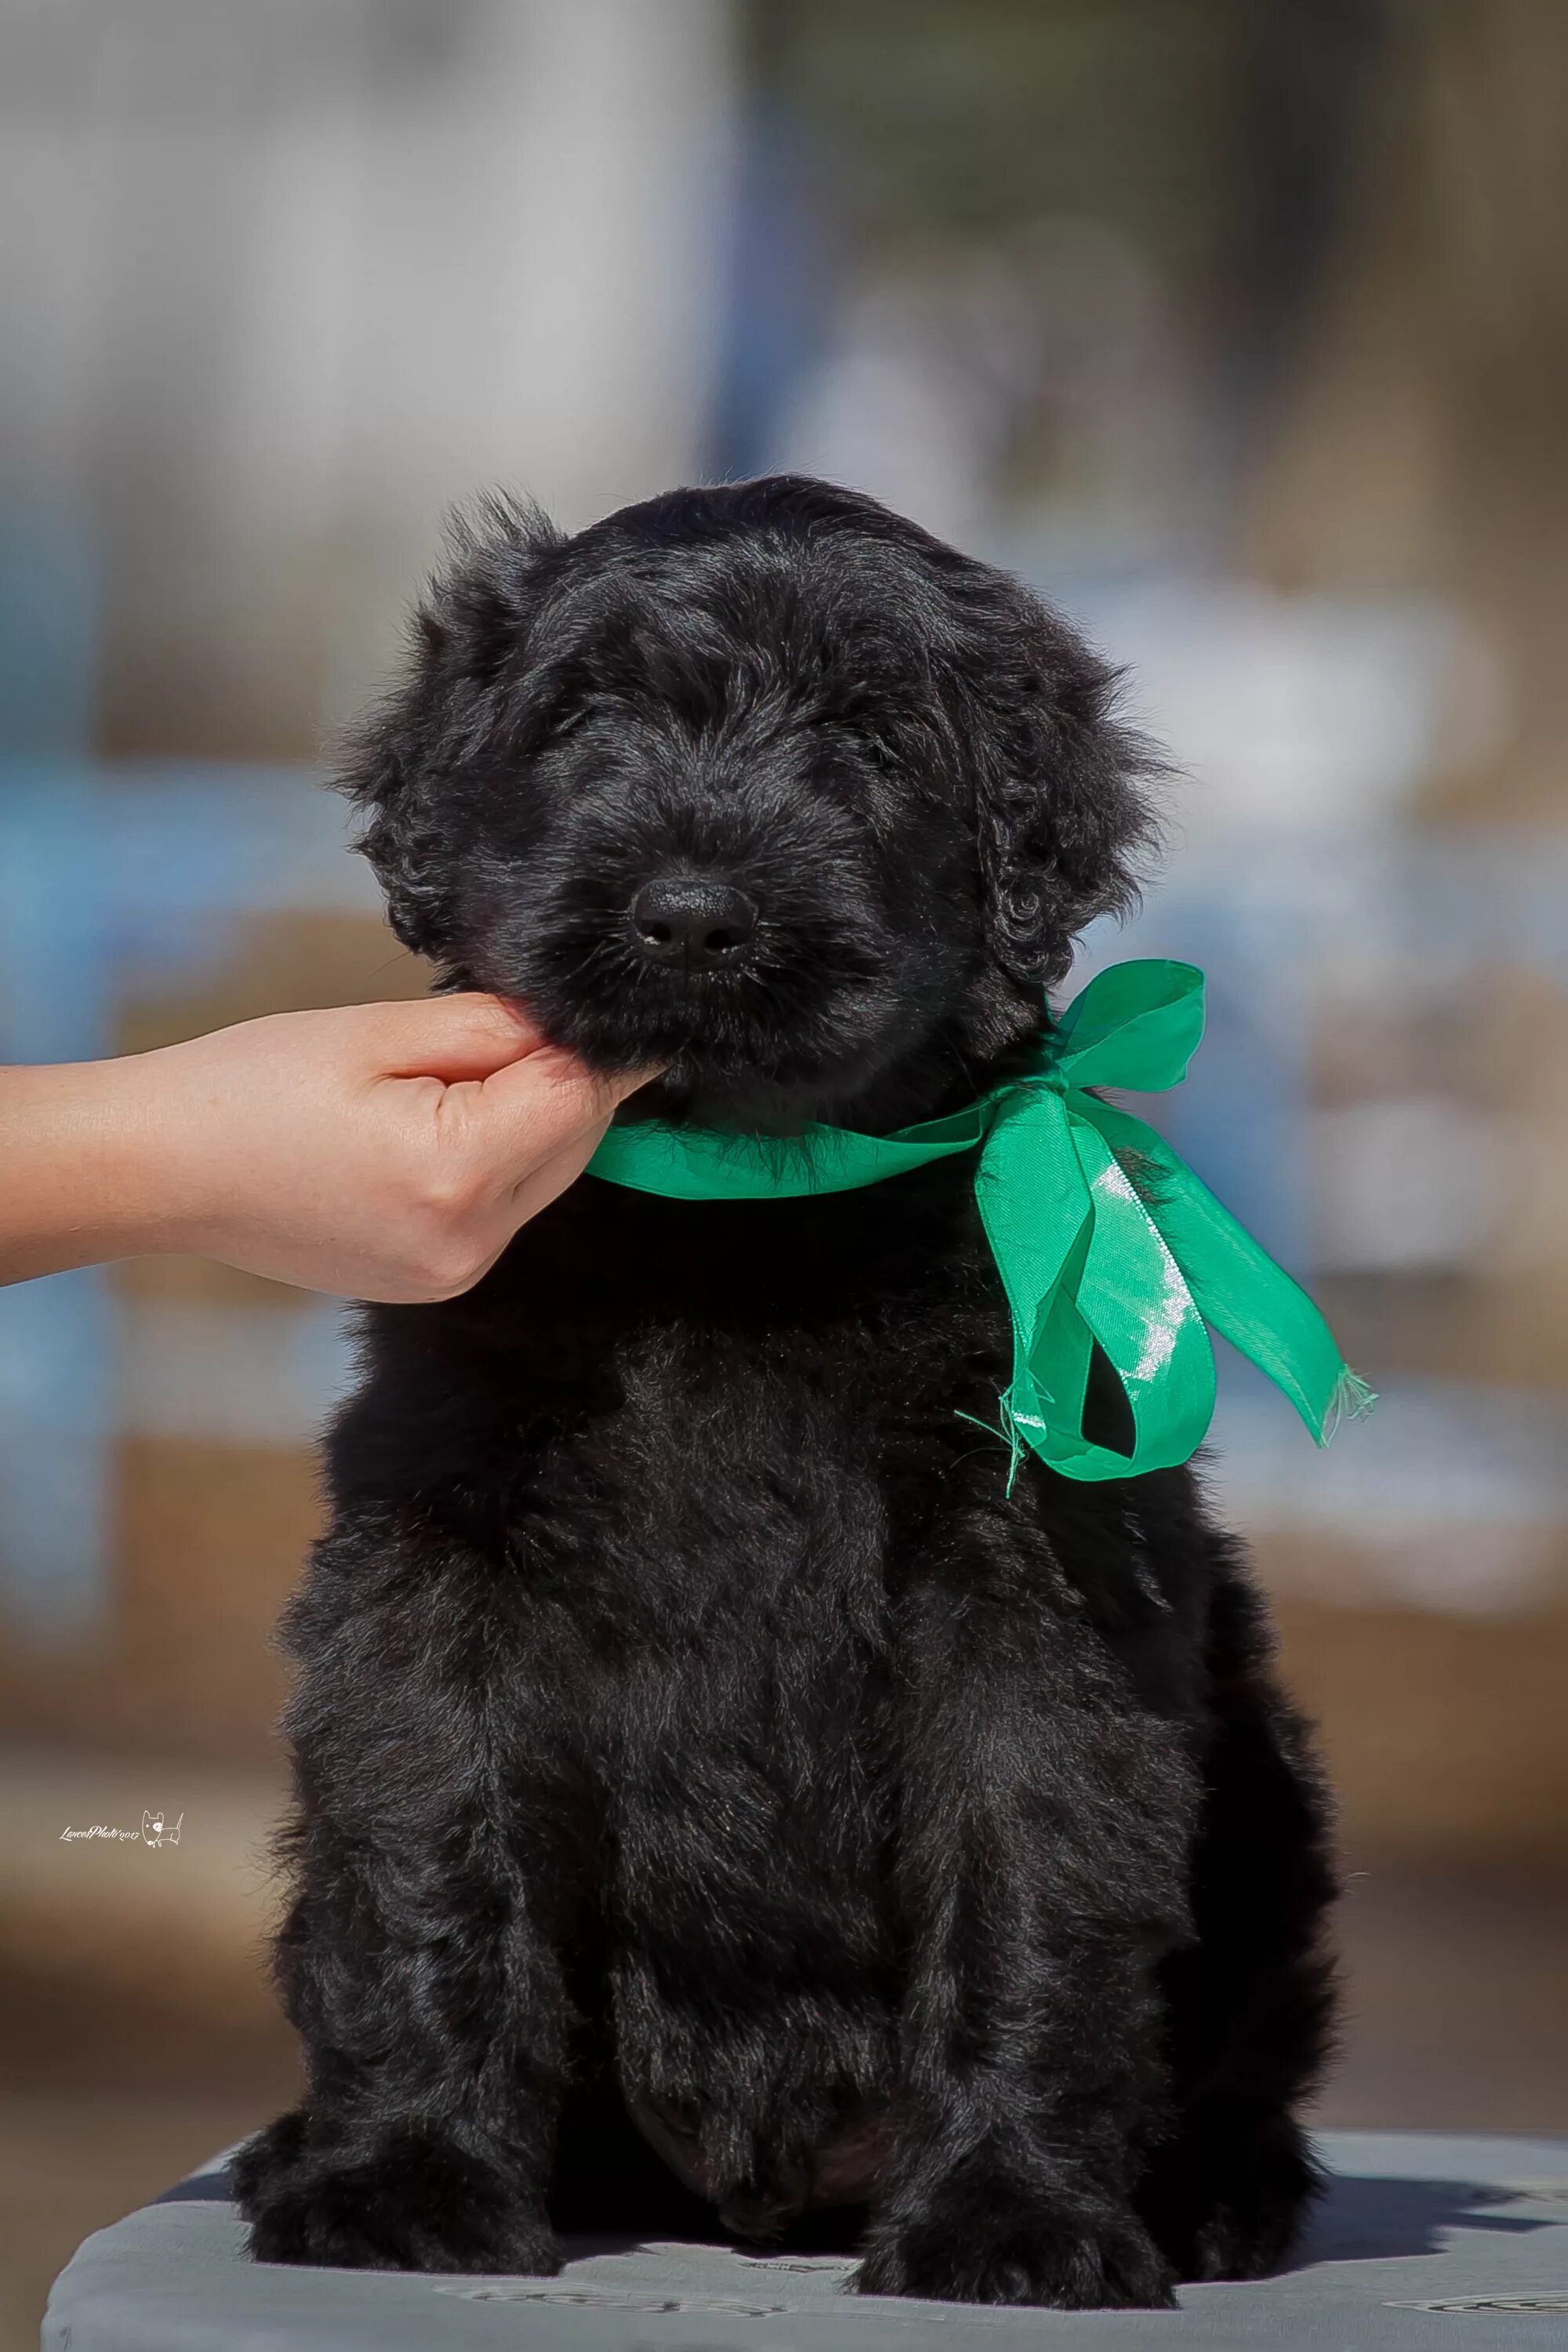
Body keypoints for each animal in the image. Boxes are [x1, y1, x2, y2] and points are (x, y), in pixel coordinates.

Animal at [236, 468, 1335, 2305]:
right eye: (585, 718)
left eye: (870, 740)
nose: (691, 916)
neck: (743, 1223)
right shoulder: (442, 1565)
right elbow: (432, 1859)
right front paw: (405, 2179)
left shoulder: (1032, 1583)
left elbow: (1032, 1878)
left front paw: (1009, 2214)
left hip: (1260, 1783)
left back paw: (1210, 2197)